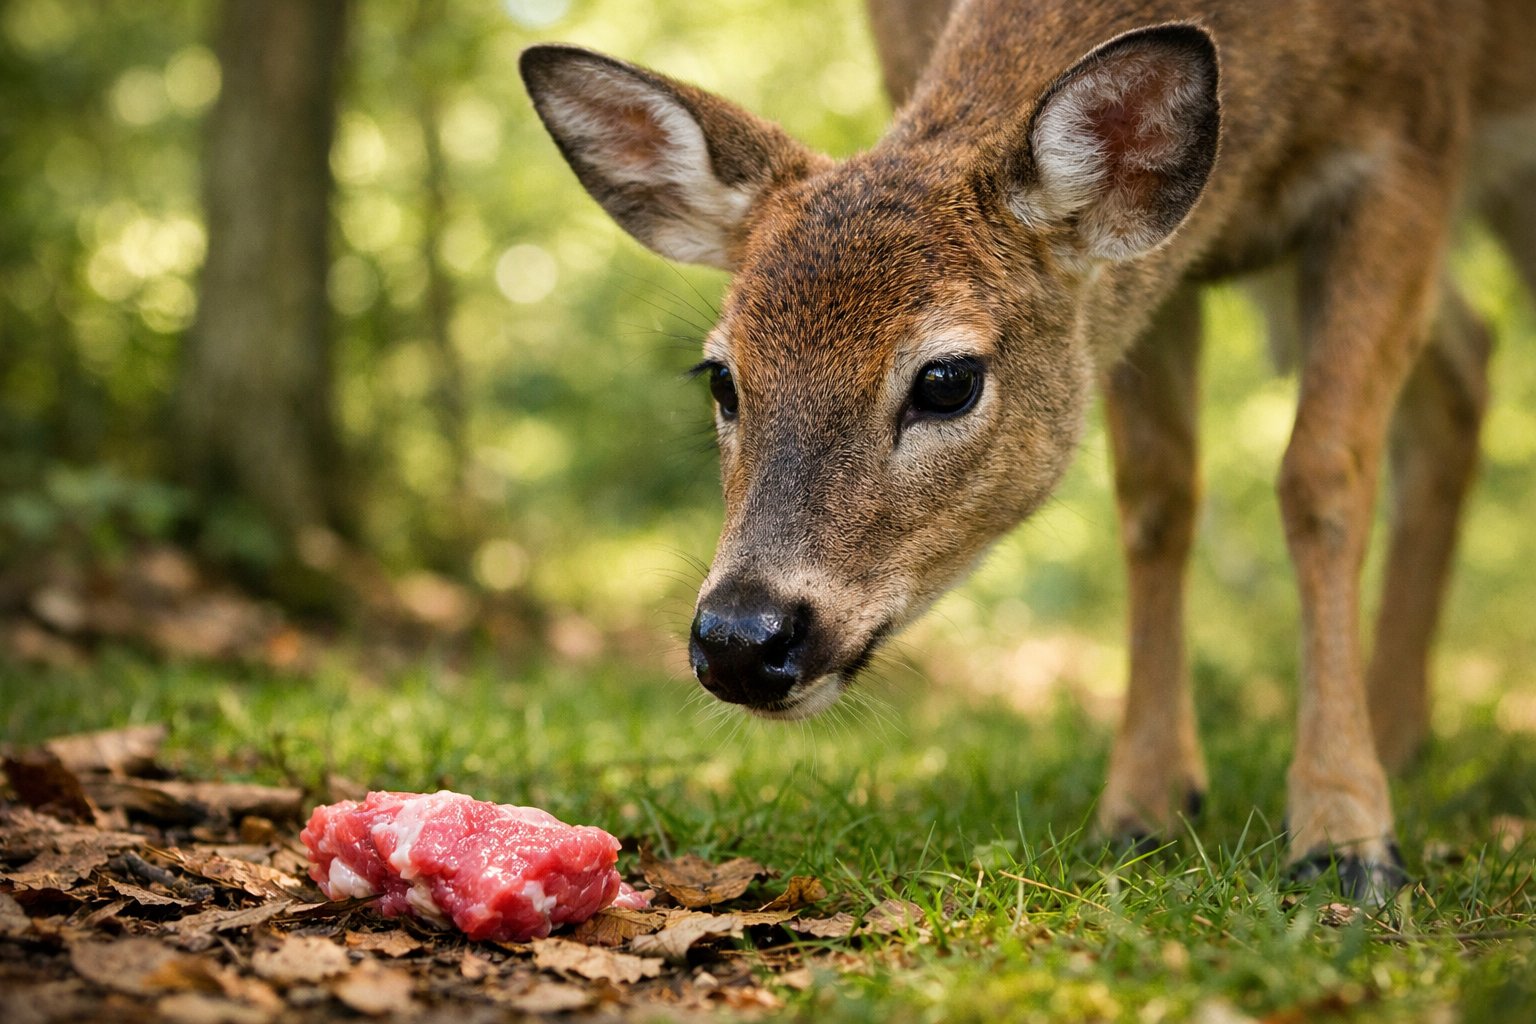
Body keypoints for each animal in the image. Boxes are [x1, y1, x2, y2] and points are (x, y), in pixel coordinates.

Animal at [520, 0, 1536, 903]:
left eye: (946, 380)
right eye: (721, 378)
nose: (740, 639)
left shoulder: (1411, 146)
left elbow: (1321, 474)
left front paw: (1345, 836)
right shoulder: (1141, 279)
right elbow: (1157, 495)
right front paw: (1144, 805)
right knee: (1466, 361)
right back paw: (1400, 731)